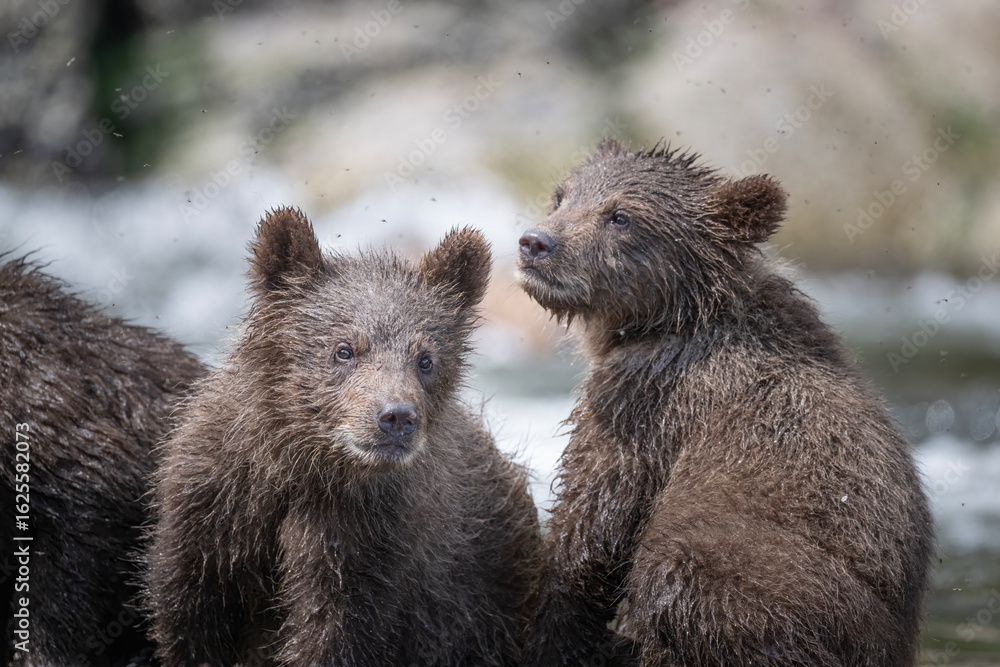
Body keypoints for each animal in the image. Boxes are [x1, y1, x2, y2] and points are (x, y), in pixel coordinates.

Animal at [145, 207, 543, 667]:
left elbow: (333, 632)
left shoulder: (366, 541)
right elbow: (190, 619)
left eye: (425, 359)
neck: (305, 466)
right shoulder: (212, 513)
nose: (396, 417)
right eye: (344, 349)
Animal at [515, 139, 933, 666]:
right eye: (562, 195)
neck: (673, 315)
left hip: (793, 584)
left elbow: (594, 517)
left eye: (620, 215)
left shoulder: (647, 402)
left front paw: (553, 628)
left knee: (678, 568)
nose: (535, 243)